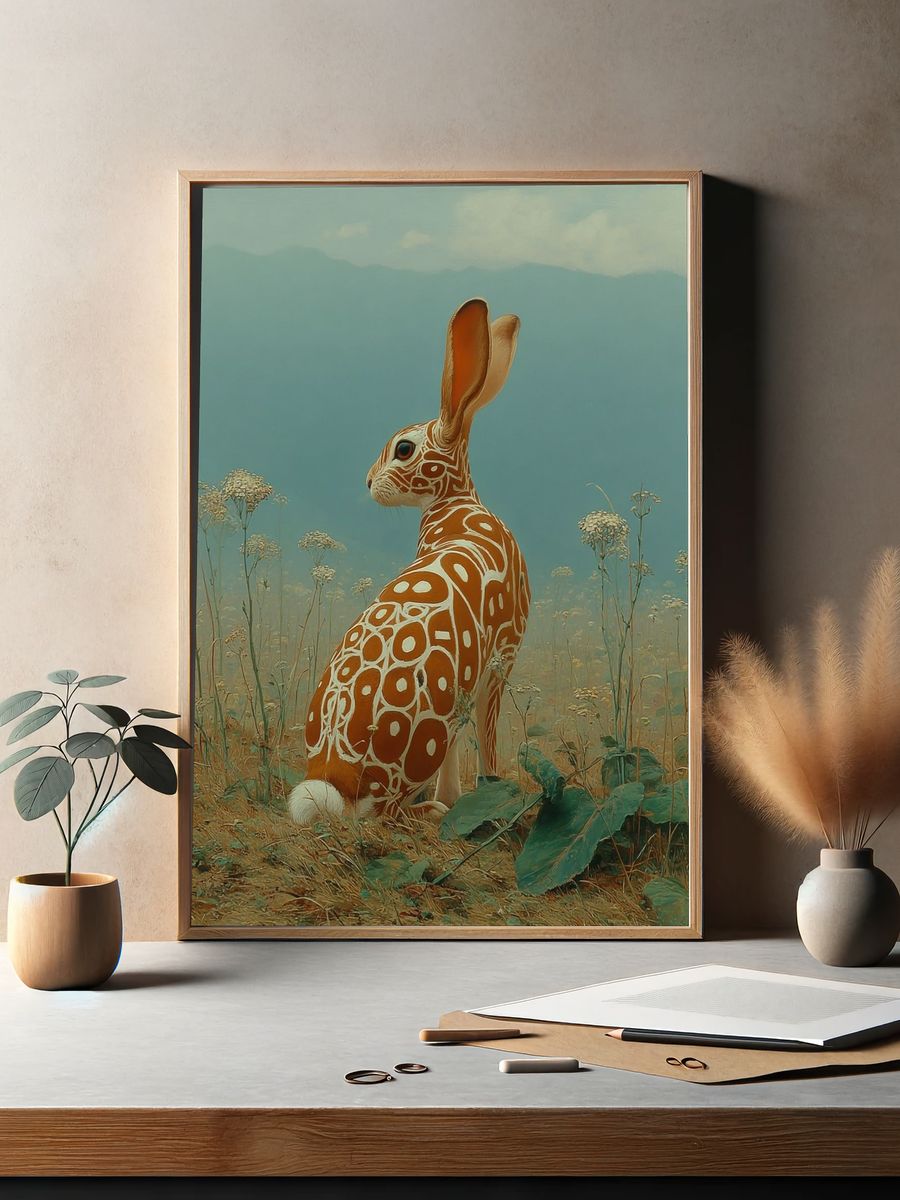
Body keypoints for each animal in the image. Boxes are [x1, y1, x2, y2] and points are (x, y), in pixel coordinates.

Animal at [289, 297, 530, 825]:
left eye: (404, 448)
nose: (367, 481)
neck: (456, 506)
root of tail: (334, 775)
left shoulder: (486, 674)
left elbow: (472, 738)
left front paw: (461, 796)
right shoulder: (501, 658)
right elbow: (487, 737)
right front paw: (486, 792)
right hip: (425, 735)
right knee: (387, 813)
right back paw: (432, 812)